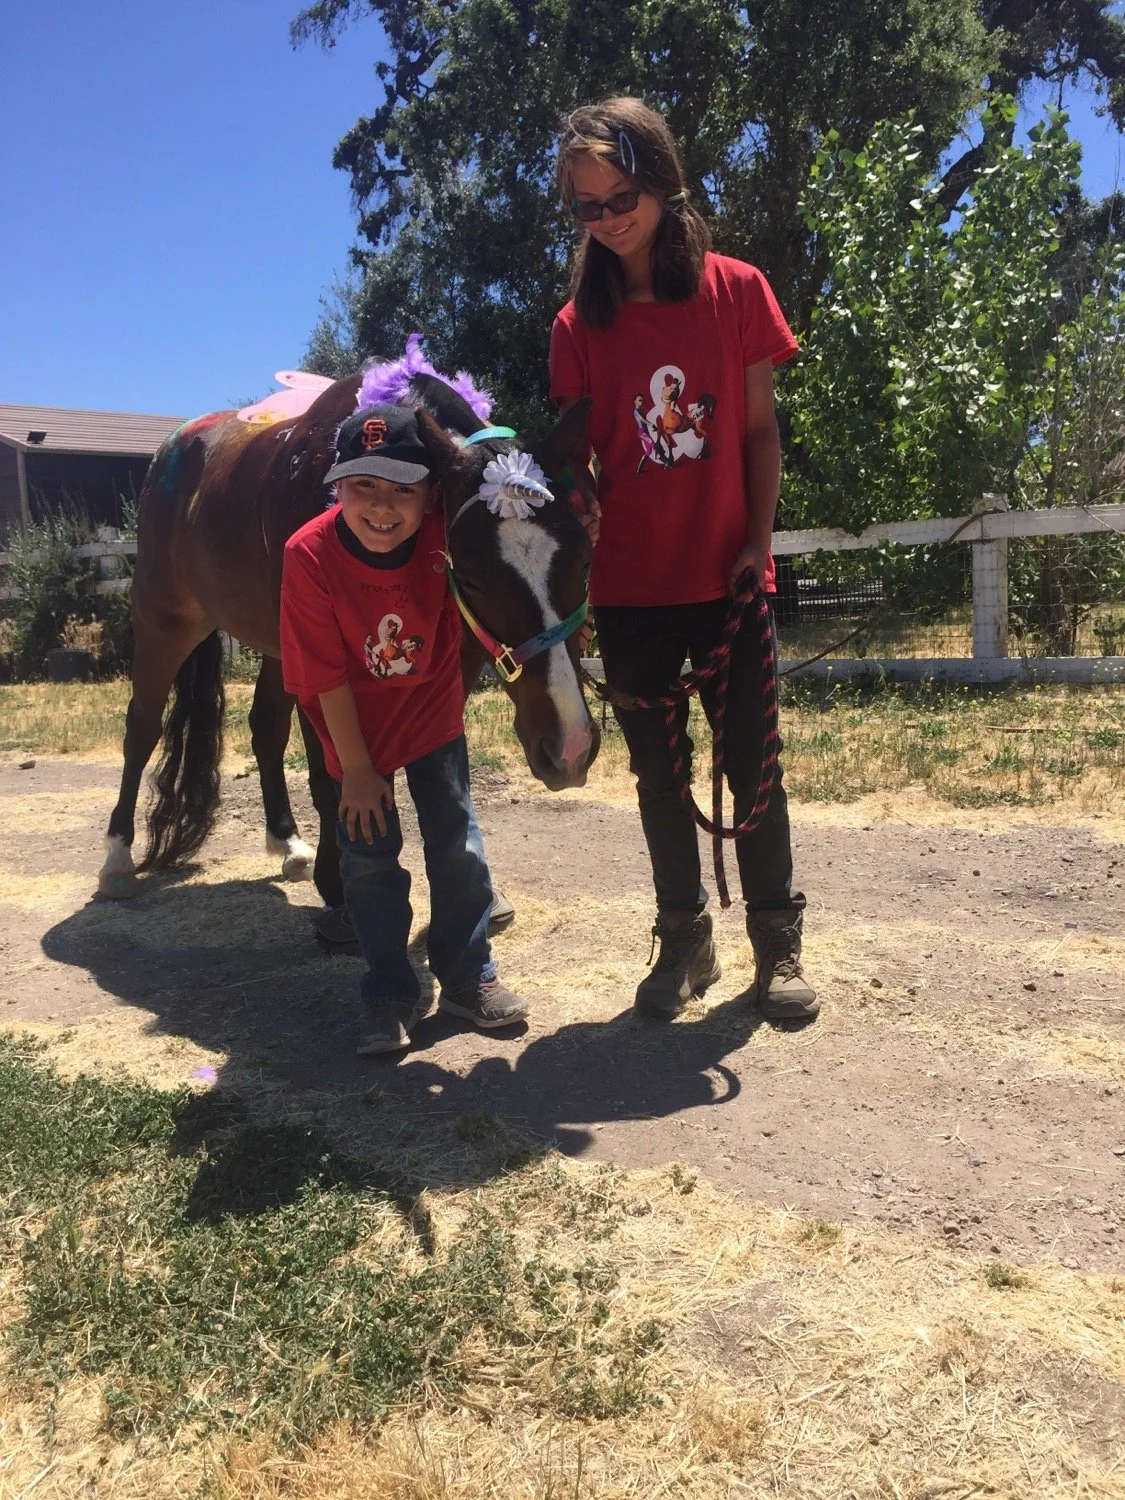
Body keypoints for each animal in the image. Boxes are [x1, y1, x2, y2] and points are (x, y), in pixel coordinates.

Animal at [96, 355, 600, 928]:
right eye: (471, 578)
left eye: (584, 561)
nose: (569, 747)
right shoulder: (321, 660)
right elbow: (329, 775)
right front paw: (339, 885)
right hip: (163, 623)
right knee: (141, 729)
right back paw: (117, 859)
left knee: (265, 727)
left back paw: (288, 843)